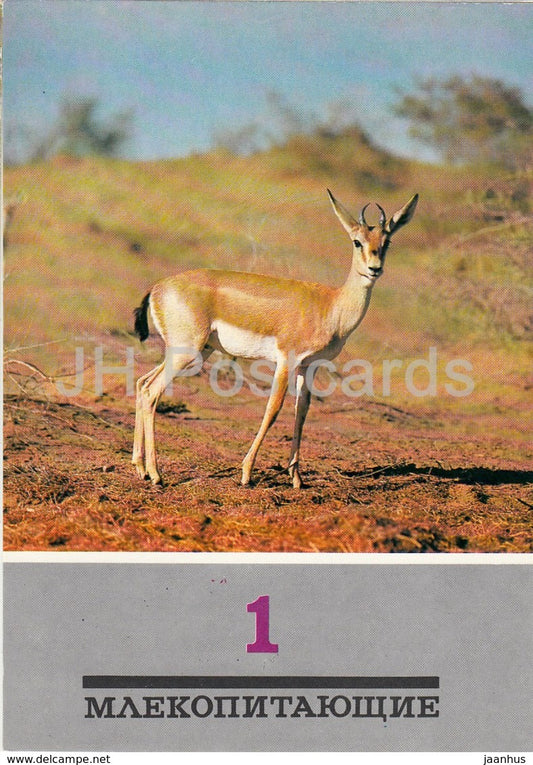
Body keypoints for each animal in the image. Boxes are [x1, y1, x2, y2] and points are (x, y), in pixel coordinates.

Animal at [132, 190, 418, 488]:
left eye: (387, 241)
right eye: (357, 241)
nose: (374, 269)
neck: (331, 305)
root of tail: (158, 287)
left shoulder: (309, 366)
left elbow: (301, 411)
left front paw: (297, 478)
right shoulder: (286, 360)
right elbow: (274, 409)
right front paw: (246, 473)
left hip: (195, 352)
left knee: (142, 383)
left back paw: (140, 468)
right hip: (187, 353)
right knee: (152, 391)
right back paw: (156, 474)